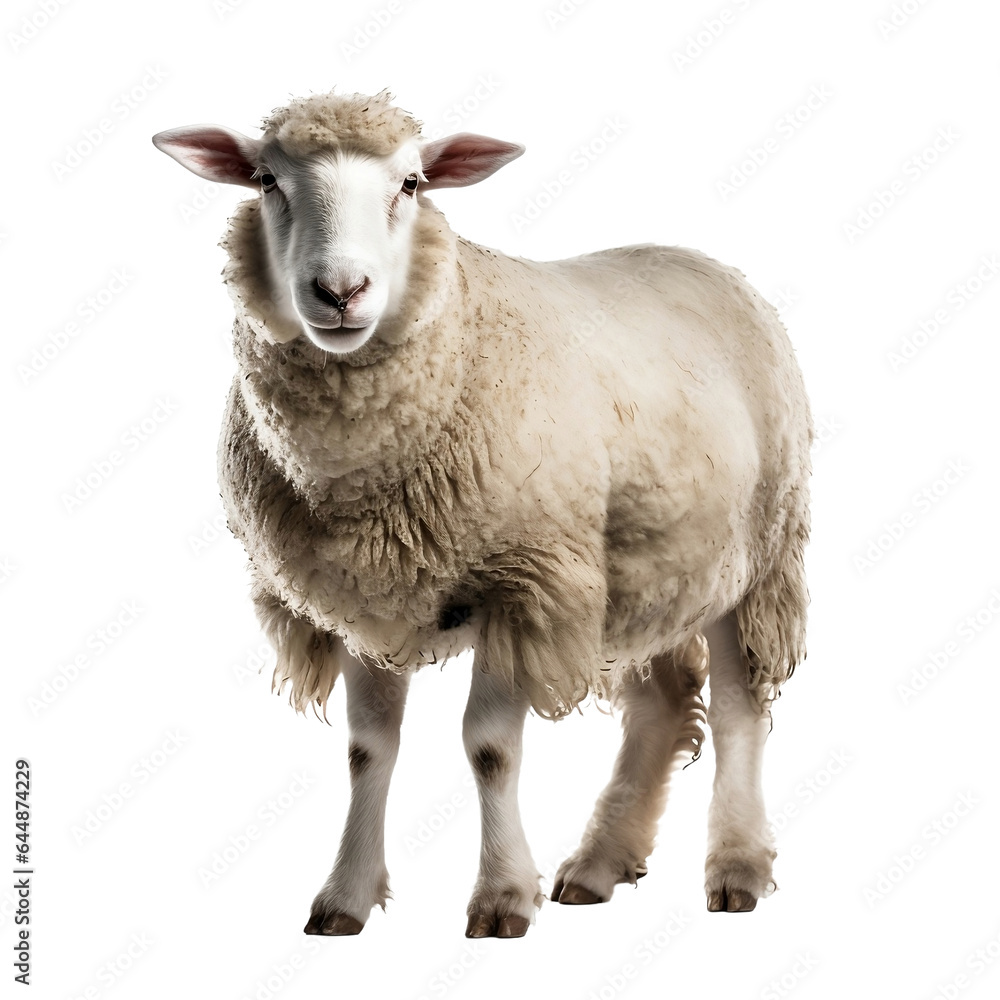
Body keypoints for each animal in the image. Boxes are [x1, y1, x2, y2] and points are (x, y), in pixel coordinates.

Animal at [152, 88, 811, 938]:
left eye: (411, 184)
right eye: (267, 180)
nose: (341, 291)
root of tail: (703, 260)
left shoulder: (521, 581)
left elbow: (489, 748)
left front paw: (501, 897)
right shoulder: (367, 591)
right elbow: (369, 749)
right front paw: (346, 896)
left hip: (757, 552)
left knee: (737, 709)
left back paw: (736, 867)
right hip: (645, 565)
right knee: (663, 705)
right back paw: (598, 864)